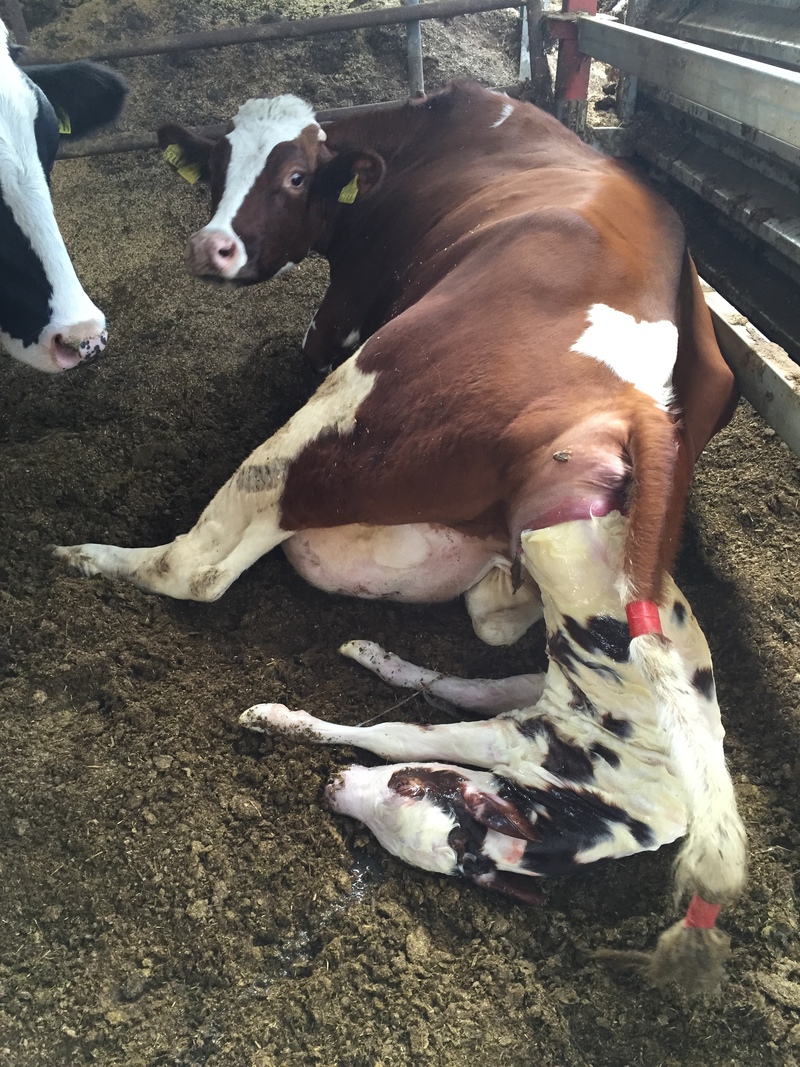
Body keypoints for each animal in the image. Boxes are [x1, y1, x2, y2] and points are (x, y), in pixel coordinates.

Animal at [56, 83, 746, 990]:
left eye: (296, 175)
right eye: (217, 165)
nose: (213, 247)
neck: (427, 137)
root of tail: (632, 402)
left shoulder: (343, 310)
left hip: (347, 412)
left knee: (198, 564)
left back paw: (88, 557)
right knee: (497, 614)